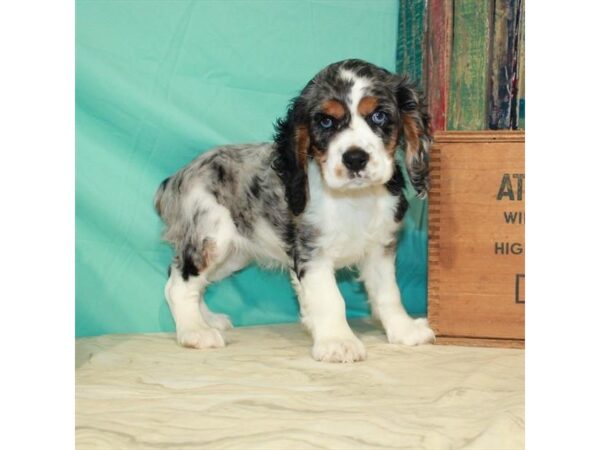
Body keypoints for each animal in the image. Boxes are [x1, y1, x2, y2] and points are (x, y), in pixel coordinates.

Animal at [155, 59, 436, 362]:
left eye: (380, 116)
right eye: (325, 121)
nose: (355, 158)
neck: (353, 199)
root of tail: (175, 179)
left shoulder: (379, 248)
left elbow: (388, 293)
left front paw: (404, 330)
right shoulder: (311, 253)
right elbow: (330, 299)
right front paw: (338, 341)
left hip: (233, 255)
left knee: (193, 281)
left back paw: (207, 320)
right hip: (211, 236)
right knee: (178, 284)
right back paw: (195, 332)